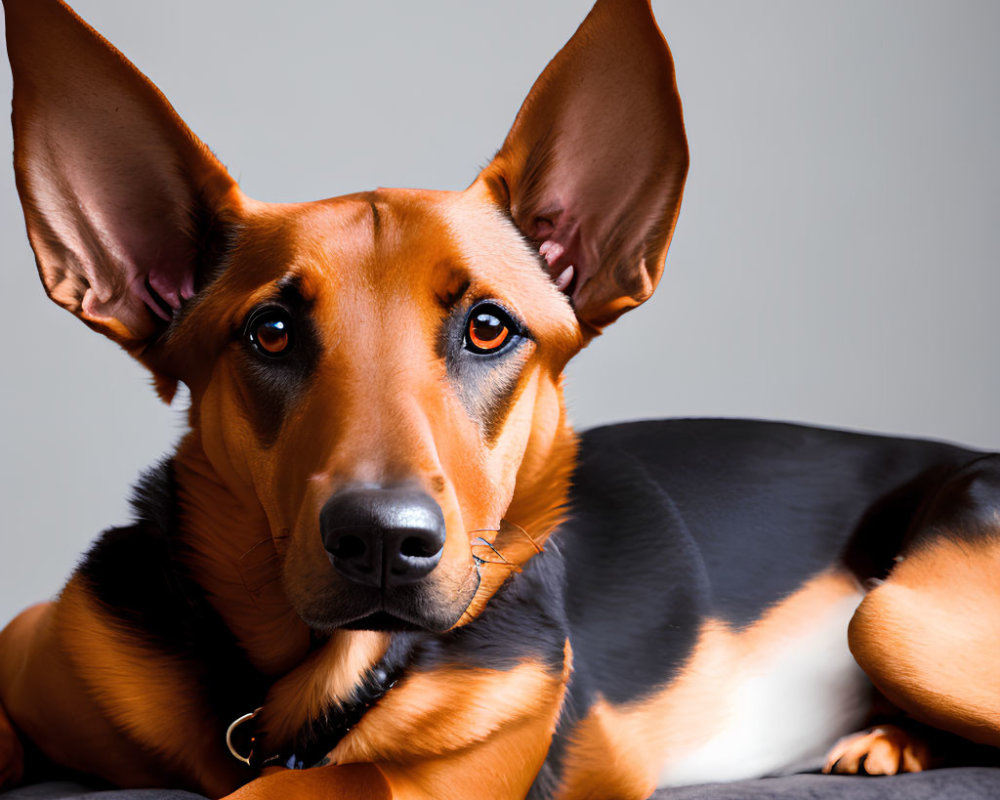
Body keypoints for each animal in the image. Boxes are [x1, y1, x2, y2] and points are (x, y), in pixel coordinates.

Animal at [1, 1, 1000, 800]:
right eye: (271, 332)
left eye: (488, 328)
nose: (383, 543)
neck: (284, 696)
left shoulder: (428, 773)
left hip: (892, 620)